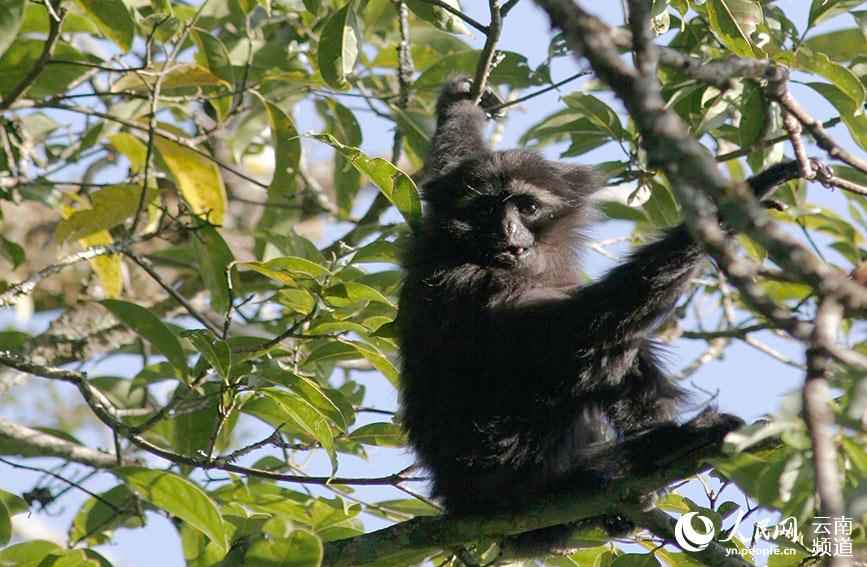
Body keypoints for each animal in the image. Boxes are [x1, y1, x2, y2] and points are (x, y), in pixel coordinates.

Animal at [396, 76, 814, 554]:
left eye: (526, 207)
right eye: (486, 210)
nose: (508, 232)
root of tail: (459, 500)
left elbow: (447, 160)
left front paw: (462, 103)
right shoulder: (476, 283)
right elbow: (578, 333)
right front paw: (747, 195)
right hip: (511, 461)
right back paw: (654, 452)